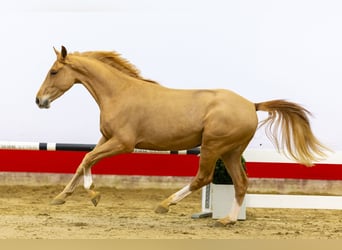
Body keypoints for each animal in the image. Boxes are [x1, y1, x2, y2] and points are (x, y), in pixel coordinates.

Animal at [34, 46, 328, 226]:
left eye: (54, 71)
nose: (39, 100)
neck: (119, 93)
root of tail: (251, 105)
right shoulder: (106, 139)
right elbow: (84, 160)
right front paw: (62, 197)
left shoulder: (123, 143)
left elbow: (87, 159)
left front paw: (92, 194)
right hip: (231, 152)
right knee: (241, 183)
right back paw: (228, 220)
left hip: (213, 146)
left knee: (203, 177)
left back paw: (165, 204)